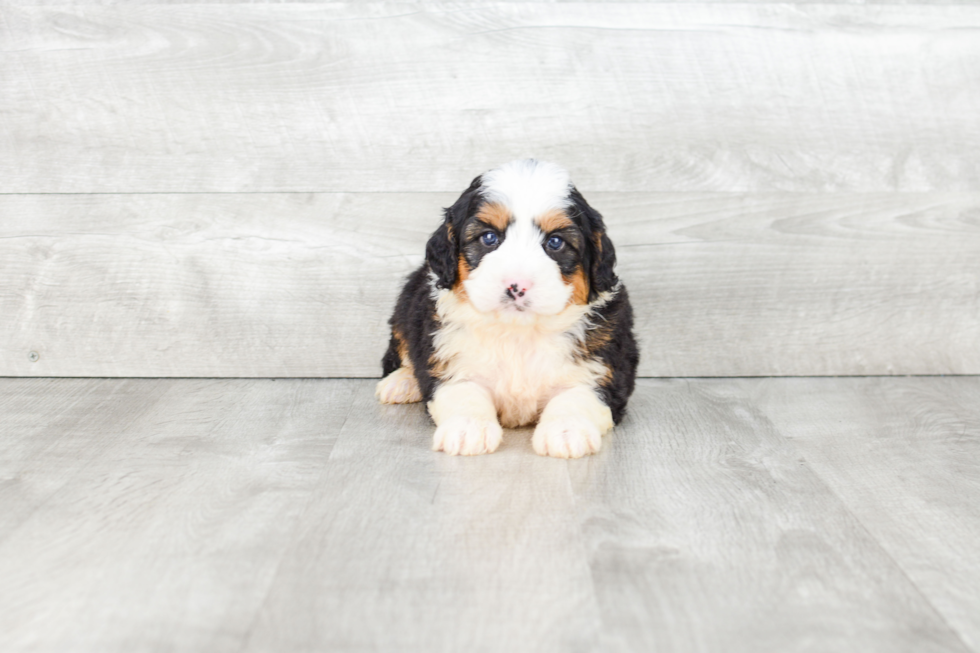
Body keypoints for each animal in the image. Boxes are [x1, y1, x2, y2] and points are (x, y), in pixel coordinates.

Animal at [374, 160, 636, 456]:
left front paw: (566, 431)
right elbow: (464, 392)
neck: (517, 333)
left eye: (555, 242)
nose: (516, 285)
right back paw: (402, 382)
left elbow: (577, 395)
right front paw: (468, 429)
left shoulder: (604, 367)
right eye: (489, 238)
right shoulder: (451, 363)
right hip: (405, 305)